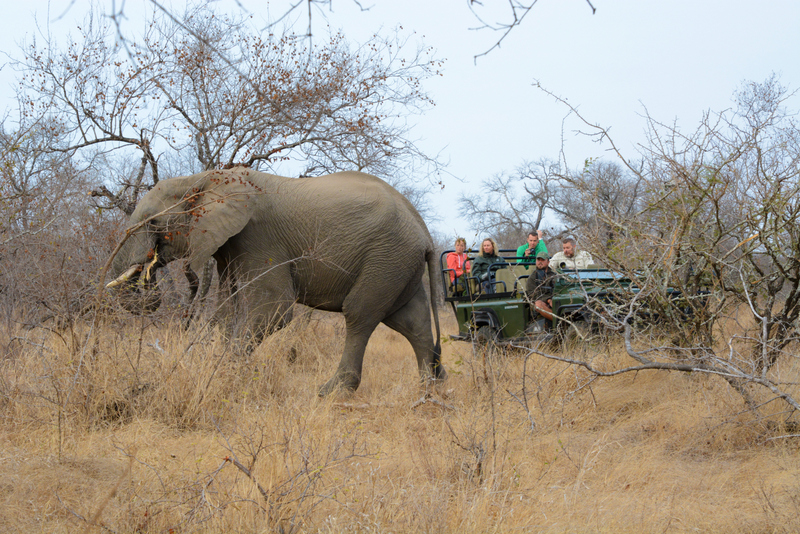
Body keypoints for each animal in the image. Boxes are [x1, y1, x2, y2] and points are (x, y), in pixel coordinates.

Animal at [106, 167, 446, 395]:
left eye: (153, 222)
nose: (148, 269)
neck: (202, 178)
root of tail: (425, 232)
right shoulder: (228, 245)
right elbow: (225, 312)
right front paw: (217, 368)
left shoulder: (259, 238)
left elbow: (274, 309)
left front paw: (228, 377)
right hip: (398, 264)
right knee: (411, 322)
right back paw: (428, 389)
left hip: (386, 257)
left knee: (359, 314)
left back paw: (330, 392)